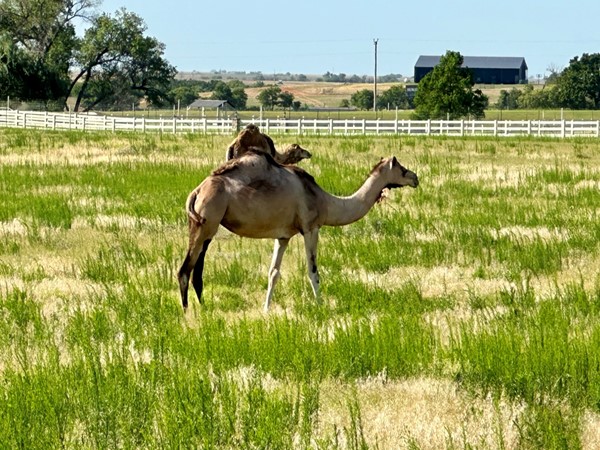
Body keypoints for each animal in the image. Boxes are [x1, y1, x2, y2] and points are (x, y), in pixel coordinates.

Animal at [177, 149, 418, 312]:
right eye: (401, 168)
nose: (415, 177)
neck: (326, 202)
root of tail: (196, 191)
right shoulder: (311, 228)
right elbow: (313, 271)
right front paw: (321, 306)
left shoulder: (282, 236)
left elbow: (273, 272)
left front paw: (266, 309)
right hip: (206, 220)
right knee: (184, 270)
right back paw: (187, 312)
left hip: (207, 226)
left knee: (197, 269)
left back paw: (204, 307)